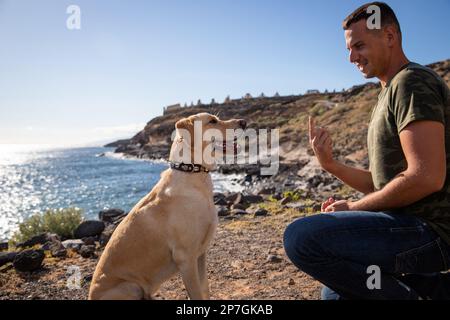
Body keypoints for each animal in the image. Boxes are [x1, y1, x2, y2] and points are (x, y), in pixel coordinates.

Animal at [89, 112, 246, 300]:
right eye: (212, 121)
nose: (244, 122)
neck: (192, 172)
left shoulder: (201, 254)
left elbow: (205, 289)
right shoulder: (186, 258)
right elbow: (196, 293)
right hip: (130, 286)